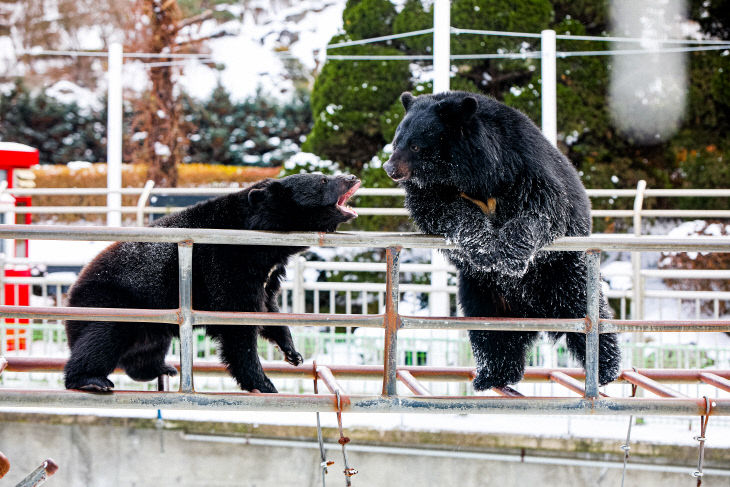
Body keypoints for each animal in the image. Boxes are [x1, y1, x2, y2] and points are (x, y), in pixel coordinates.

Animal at [64, 173, 360, 394]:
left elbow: (267, 308)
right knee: (104, 335)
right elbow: (236, 324)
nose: (352, 177)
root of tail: (70, 297)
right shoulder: (222, 262)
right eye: (323, 180)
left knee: (146, 349)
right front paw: (263, 383)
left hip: (152, 325)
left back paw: (160, 368)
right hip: (110, 301)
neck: (260, 246)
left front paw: (291, 352)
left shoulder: (265, 274)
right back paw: (90, 380)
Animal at [384, 91, 616, 390]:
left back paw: (606, 369)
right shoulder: (435, 191)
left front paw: (508, 257)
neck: (469, 174)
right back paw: (493, 374)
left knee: (587, 313)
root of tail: (533, 310)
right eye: (396, 141)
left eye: (415, 145)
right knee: (490, 334)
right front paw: (484, 249)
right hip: (482, 292)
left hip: (565, 272)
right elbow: (442, 211)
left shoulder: (521, 164)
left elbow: (543, 205)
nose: (389, 168)